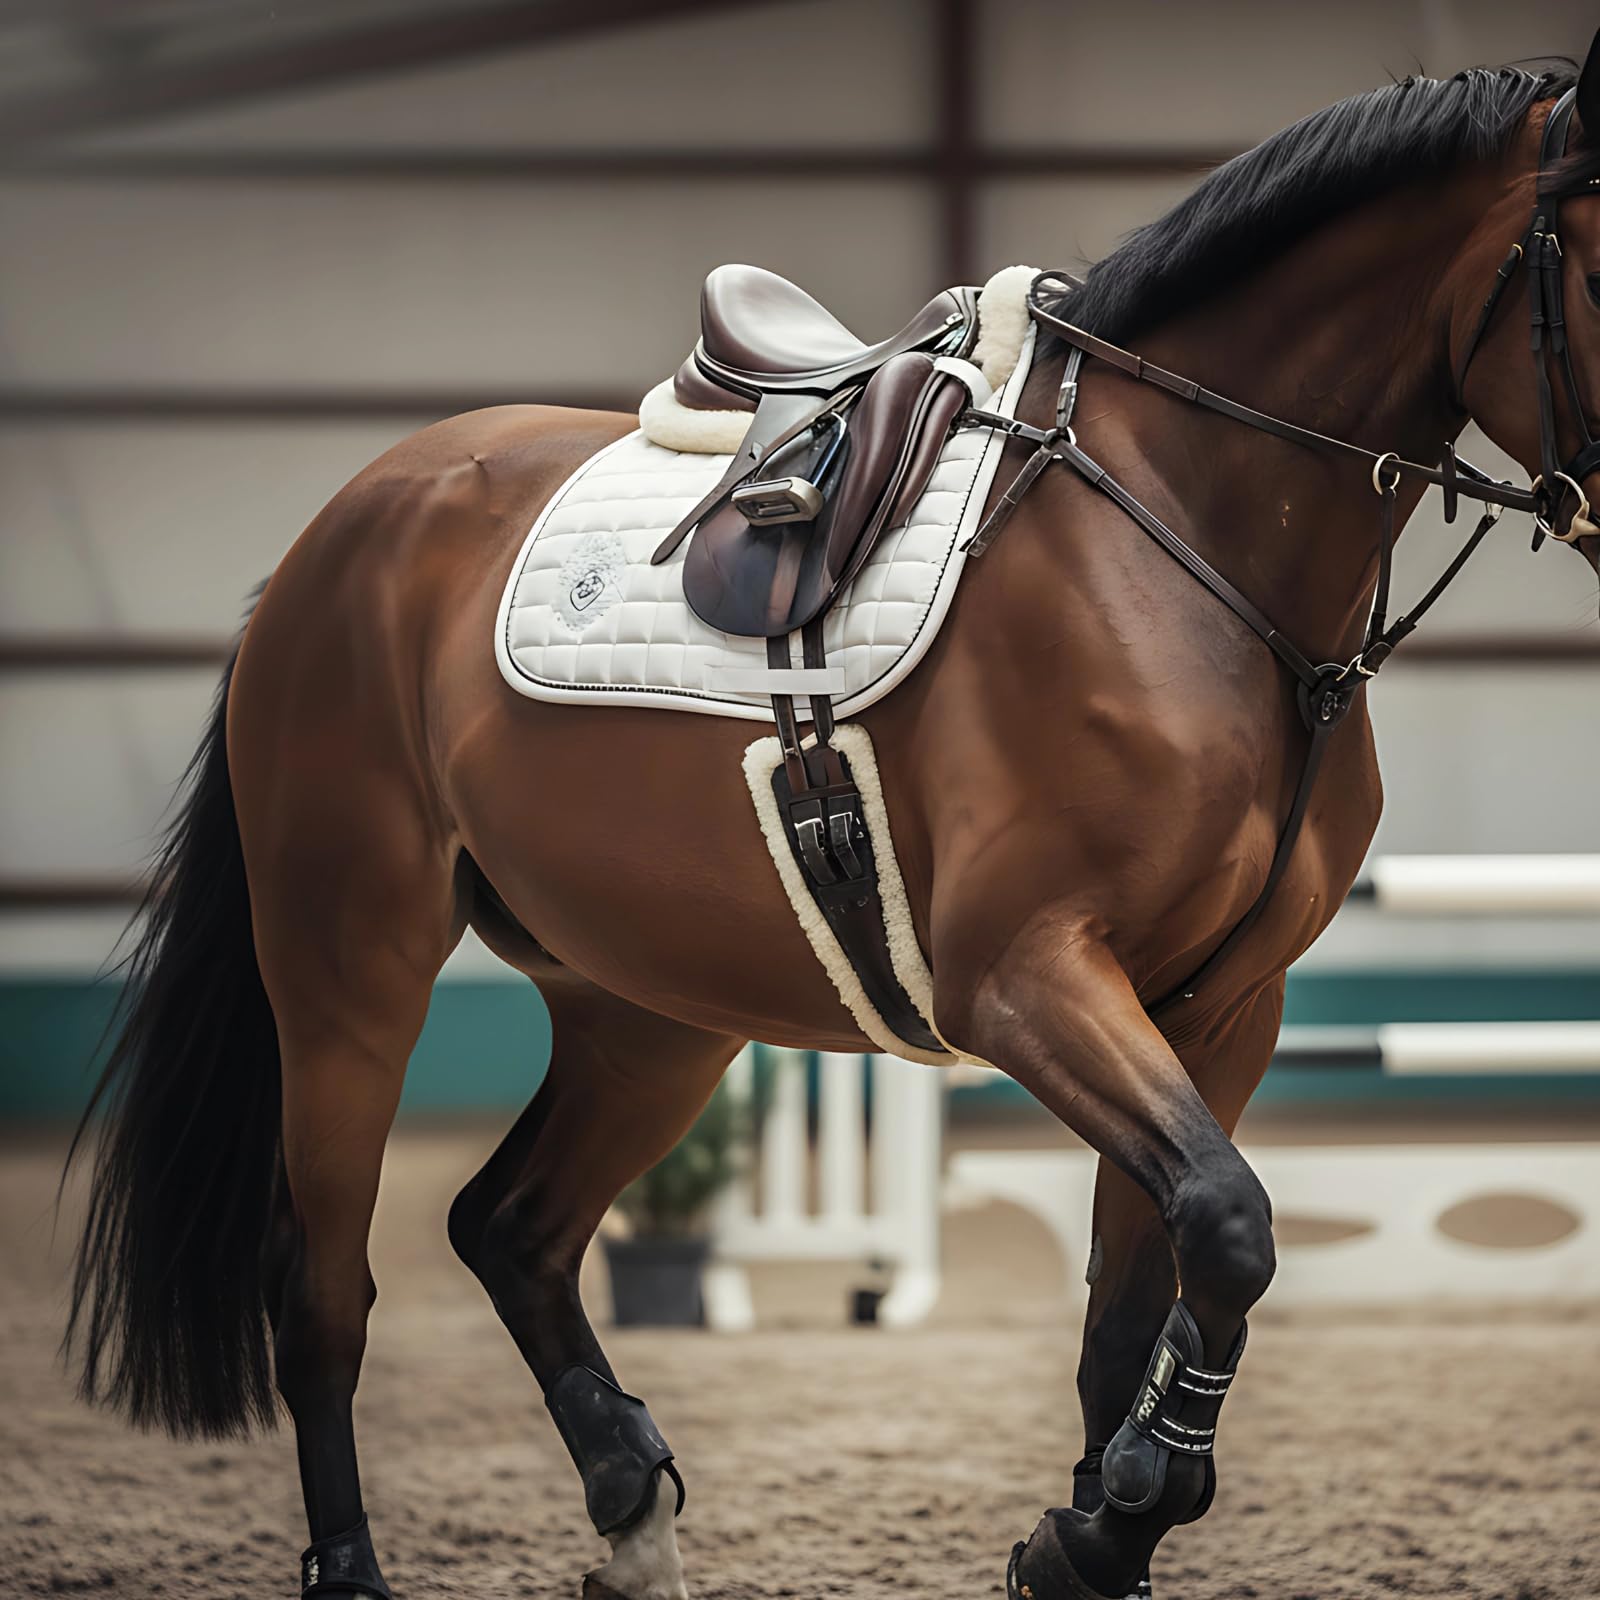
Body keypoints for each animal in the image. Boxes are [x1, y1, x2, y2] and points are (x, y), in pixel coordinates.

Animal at [64, 41, 1600, 1600]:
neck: (1184, 528)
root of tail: (342, 529)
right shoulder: (1025, 977)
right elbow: (1226, 1228)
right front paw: (1103, 1522)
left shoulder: (1219, 1008)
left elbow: (1141, 1296)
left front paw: (1090, 1534)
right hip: (347, 973)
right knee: (323, 1287)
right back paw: (363, 1562)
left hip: (648, 1009)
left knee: (509, 1226)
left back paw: (630, 1503)